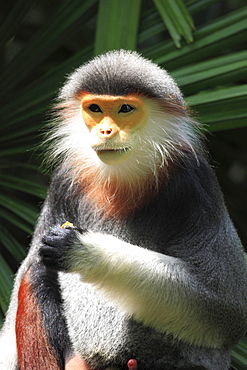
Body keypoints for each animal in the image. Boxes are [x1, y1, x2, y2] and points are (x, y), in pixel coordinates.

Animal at [0, 49, 247, 370]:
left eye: (125, 109)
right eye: (95, 108)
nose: (106, 130)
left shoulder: (194, 182)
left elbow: (227, 308)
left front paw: (86, 250)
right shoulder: (64, 180)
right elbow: (25, 272)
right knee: (36, 272)